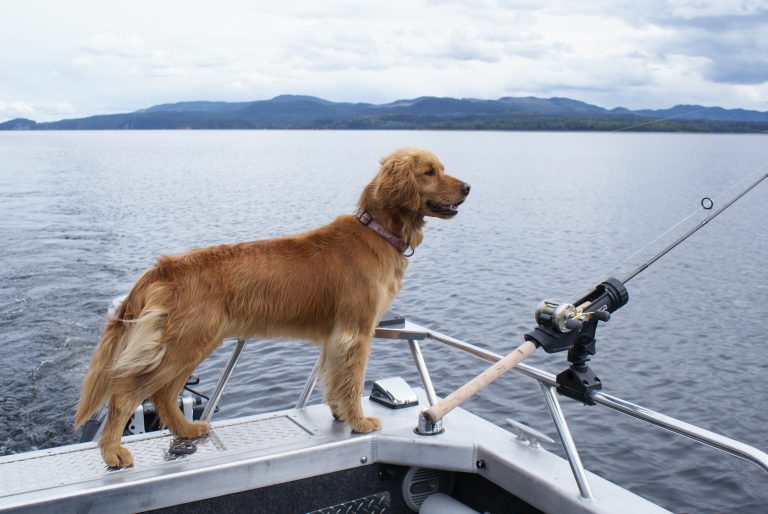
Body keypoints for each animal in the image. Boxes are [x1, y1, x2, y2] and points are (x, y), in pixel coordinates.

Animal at [76, 146, 468, 466]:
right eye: (429, 172)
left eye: (442, 168)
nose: (467, 188)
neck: (377, 232)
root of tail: (164, 268)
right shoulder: (356, 331)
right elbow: (352, 380)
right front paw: (359, 421)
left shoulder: (336, 336)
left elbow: (334, 379)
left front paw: (341, 415)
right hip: (184, 344)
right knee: (126, 392)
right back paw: (113, 451)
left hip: (193, 344)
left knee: (162, 393)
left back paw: (186, 430)